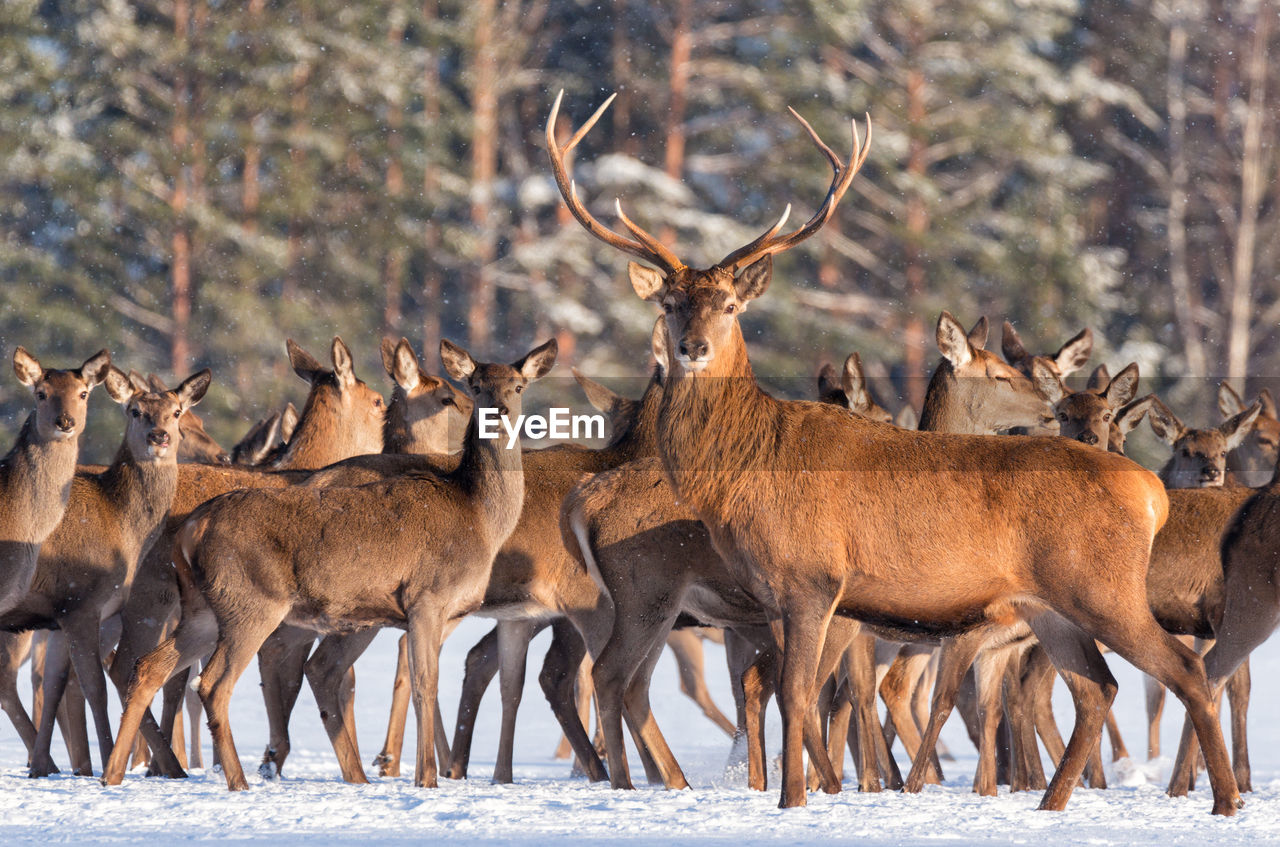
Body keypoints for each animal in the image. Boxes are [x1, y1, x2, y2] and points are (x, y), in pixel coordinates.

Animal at [5, 368, 209, 777]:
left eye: (176, 412)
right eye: (134, 410)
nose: (159, 437)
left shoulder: (67, 616)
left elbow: (61, 680)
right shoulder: (79, 605)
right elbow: (97, 683)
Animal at [101, 337, 555, 788]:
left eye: (517, 386)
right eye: (473, 387)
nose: (499, 412)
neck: (478, 514)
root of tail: (191, 530)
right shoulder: (426, 597)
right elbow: (425, 684)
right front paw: (426, 778)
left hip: (202, 609)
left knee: (148, 667)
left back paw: (115, 774)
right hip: (250, 602)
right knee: (210, 683)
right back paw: (236, 779)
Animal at [542, 91, 1239, 818]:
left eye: (730, 304)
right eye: (673, 303)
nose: (693, 347)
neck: (745, 466)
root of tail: (1151, 492)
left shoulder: (812, 578)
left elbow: (799, 694)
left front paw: (793, 801)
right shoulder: (782, 596)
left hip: (1101, 587)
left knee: (1184, 669)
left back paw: (1222, 801)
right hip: (1051, 604)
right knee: (1097, 686)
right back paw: (1051, 803)